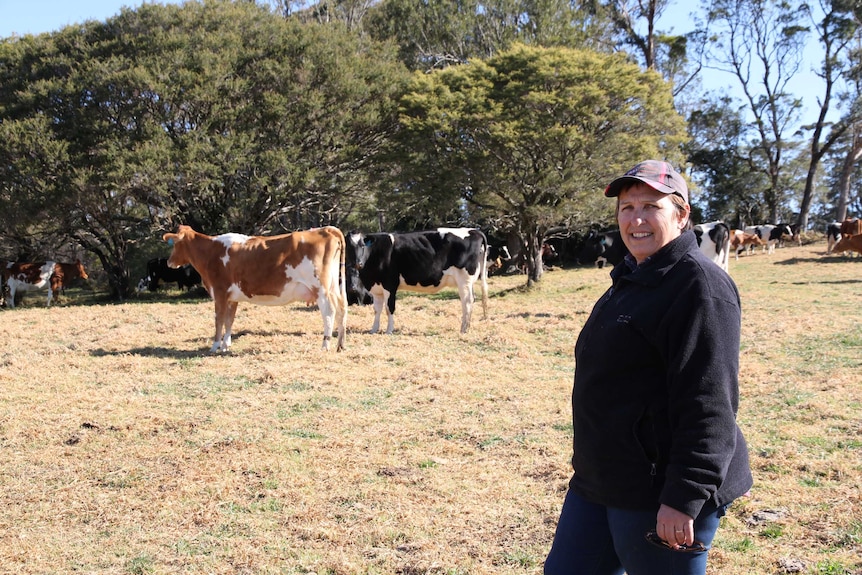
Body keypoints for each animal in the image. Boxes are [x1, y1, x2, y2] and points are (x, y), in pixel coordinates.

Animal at [162, 226, 348, 354]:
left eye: (175, 244)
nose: (169, 262)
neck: (210, 251)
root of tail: (325, 229)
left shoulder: (220, 293)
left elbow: (219, 320)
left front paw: (215, 346)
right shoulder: (232, 297)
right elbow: (229, 320)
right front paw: (226, 345)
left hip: (321, 290)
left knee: (329, 313)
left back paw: (325, 345)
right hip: (334, 287)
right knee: (342, 308)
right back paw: (340, 344)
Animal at [346, 228, 492, 336]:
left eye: (362, 245)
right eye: (349, 247)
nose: (357, 263)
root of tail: (473, 230)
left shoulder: (390, 285)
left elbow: (389, 308)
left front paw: (389, 331)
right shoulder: (376, 288)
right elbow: (377, 310)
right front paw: (373, 330)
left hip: (464, 280)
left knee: (467, 302)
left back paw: (463, 330)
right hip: (468, 282)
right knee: (472, 300)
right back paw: (467, 327)